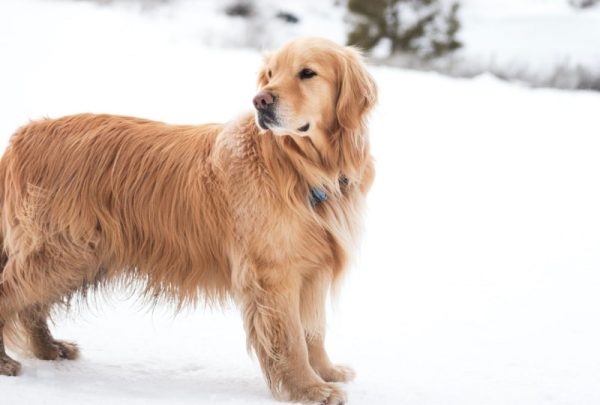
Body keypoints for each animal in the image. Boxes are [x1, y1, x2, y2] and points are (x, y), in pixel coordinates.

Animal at [0, 37, 376, 400]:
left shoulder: (313, 269)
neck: (301, 167)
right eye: (270, 74)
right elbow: (292, 339)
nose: (261, 101)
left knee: (31, 307)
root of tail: (22, 137)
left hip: (79, 256)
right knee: (11, 294)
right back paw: (6, 361)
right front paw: (309, 389)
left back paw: (49, 348)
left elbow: (314, 331)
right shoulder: (274, 273)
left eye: (307, 73)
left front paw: (326, 372)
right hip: (63, 253)